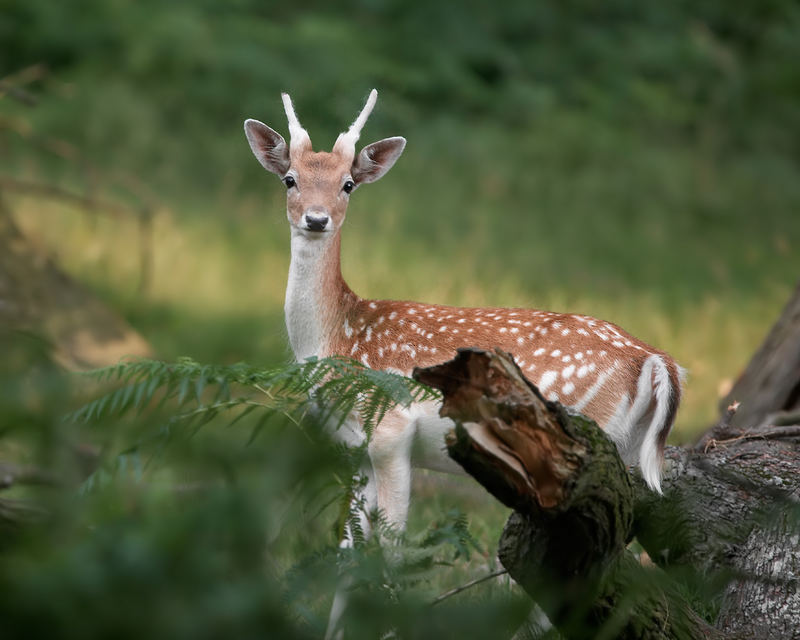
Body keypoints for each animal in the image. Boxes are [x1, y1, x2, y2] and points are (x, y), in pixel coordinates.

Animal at [242, 90, 680, 632]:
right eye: (290, 178)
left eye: (348, 183)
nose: (317, 219)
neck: (337, 339)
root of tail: (656, 360)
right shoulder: (354, 448)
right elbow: (349, 555)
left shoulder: (390, 431)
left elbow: (393, 552)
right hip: (627, 456)